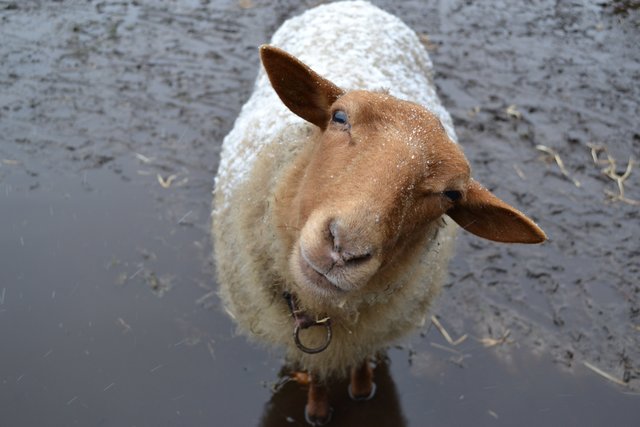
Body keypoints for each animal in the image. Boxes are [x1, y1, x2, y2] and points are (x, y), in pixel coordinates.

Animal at [212, 1, 546, 424]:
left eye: (451, 194)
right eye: (339, 117)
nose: (343, 248)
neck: (325, 312)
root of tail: (357, 5)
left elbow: (362, 361)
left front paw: (362, 389)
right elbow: (316, 374)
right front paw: (318, 411)